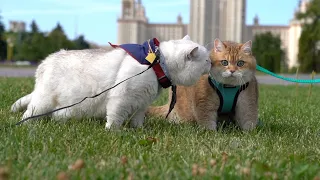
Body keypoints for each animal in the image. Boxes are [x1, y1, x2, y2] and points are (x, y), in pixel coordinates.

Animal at [11, 35, 211, 129]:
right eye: (207, 60)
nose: (211, 63)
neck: (156, 64)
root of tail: (44, 62)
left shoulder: (141, 103)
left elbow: (137, 119)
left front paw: (139, 130)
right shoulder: (121, 98)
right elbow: (115, 117)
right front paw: (112, 130)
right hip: (42, 102)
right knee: (28, 114)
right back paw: (27, 126)